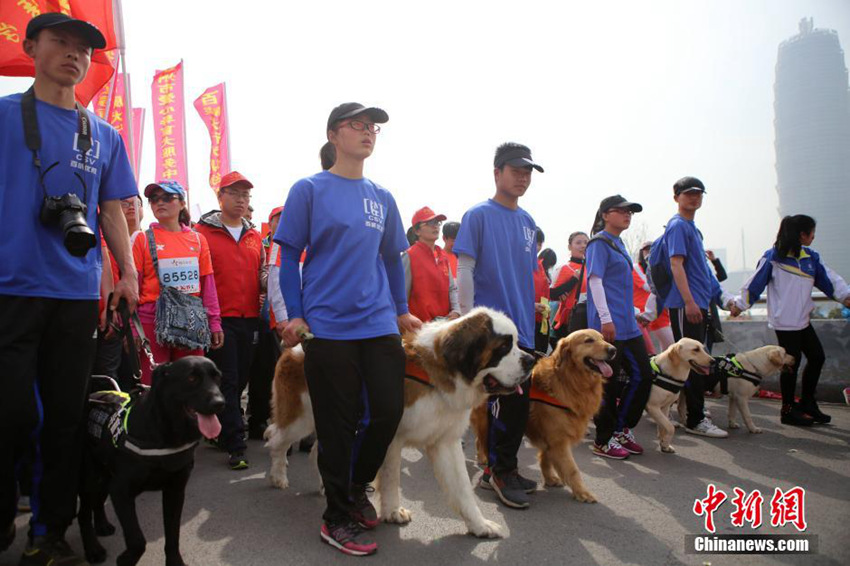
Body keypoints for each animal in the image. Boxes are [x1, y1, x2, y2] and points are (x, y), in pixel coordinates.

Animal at [264, 308, 532, 540]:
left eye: (515, 343)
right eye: (503, 347)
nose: (531, 360)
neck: (439, 372)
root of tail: (295, 347)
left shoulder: (445, 440)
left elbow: (462, 488)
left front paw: (479, 525)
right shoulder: (392, 436)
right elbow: (391, 477)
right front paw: (393, 512)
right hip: (301, 417)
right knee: (277, 439)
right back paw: (277, 476)